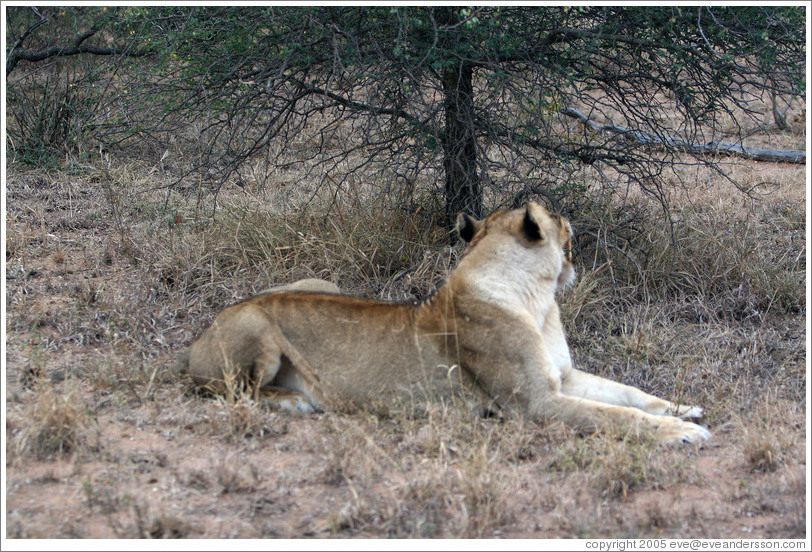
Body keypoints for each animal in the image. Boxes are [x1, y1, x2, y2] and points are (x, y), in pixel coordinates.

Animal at [177, 202, 710, 445]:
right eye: (562, 223)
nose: (574, 225)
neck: (540, 302)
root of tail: (196, 338)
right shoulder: (535, 404)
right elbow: (616, 416)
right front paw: (678, 433)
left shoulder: (565, 377)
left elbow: (627, 393)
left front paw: (681, 409)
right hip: (255, 325)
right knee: (230, 391)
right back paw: (294, 401)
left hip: (317, 281)